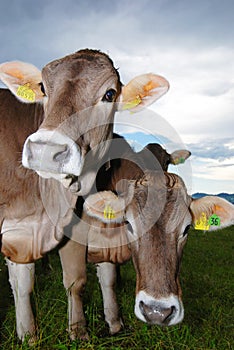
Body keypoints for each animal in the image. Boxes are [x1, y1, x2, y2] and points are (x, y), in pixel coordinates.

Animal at [0, 50, 169, 342]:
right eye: (43, 88)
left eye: (110, 94)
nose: (46, 151)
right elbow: (29, 284)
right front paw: (34, 334)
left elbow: (90, 279)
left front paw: (101, 325)